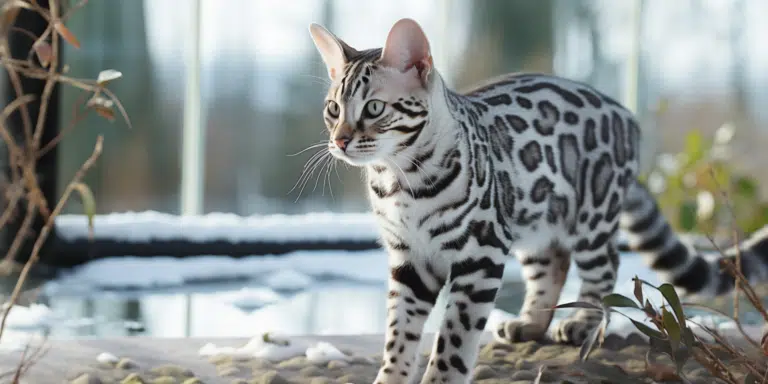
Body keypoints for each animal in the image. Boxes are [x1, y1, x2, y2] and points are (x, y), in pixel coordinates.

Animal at [306, 18, 768, 384]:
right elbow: (398, 335)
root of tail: (627, 116)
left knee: (605, 266)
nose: (339, 141)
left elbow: (453, 338)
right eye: (333, 109)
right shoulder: (409, 260)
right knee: (553, 265)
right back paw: (529, 323)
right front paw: (391, 377)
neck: (398, 180)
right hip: (532, 219)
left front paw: (441, 379)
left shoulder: (480, 253)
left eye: (374, 108)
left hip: (591, 216)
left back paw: (582, 323)